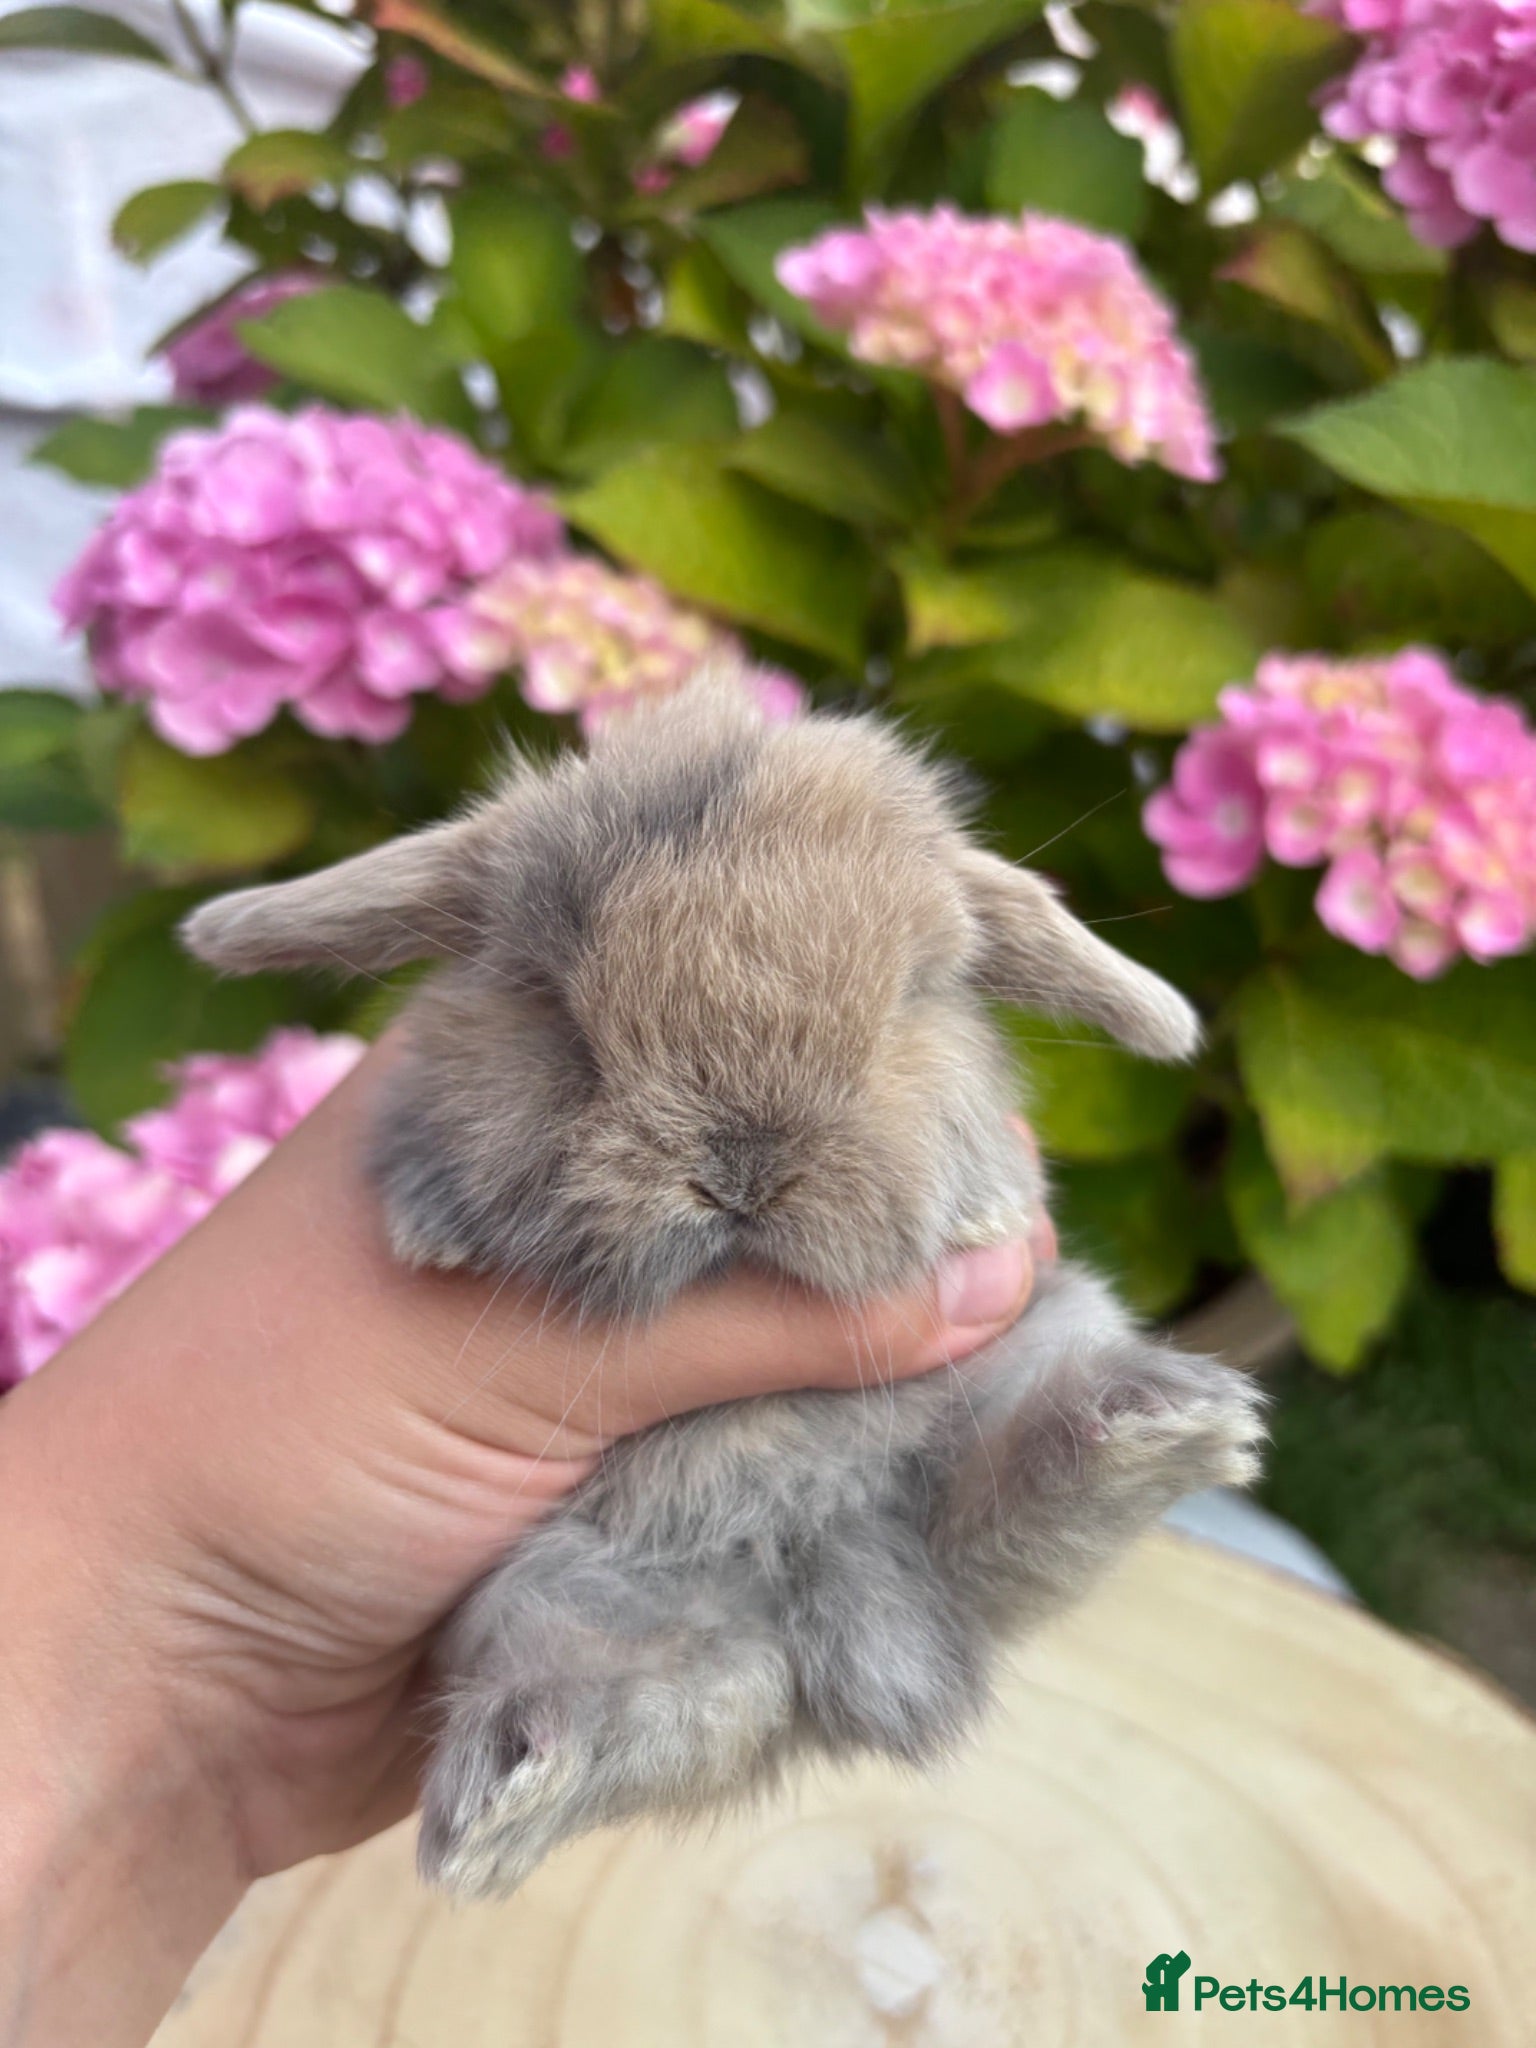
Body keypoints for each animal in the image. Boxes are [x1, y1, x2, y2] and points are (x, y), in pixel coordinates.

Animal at [182, 667, 1265, 1900]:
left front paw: (984, 1210)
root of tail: (843, 1582)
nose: (742, 1166)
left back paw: (1164, 1424)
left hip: (1015, 1377)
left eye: (910, 1001)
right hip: (569, 1599)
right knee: (689, 1703)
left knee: (985, 1526)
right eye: (555, 1013)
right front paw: (431, 1230)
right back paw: (508, 1789)